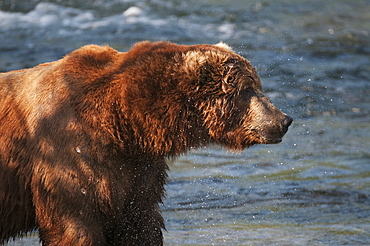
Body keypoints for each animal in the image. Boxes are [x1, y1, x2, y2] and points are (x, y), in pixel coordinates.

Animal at [0, 41, 292, 245]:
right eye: (247, 90)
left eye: (257, 86)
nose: (284, 120)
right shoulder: (70, 155)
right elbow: (75, 224)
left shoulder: (136, 168)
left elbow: (139, 223)